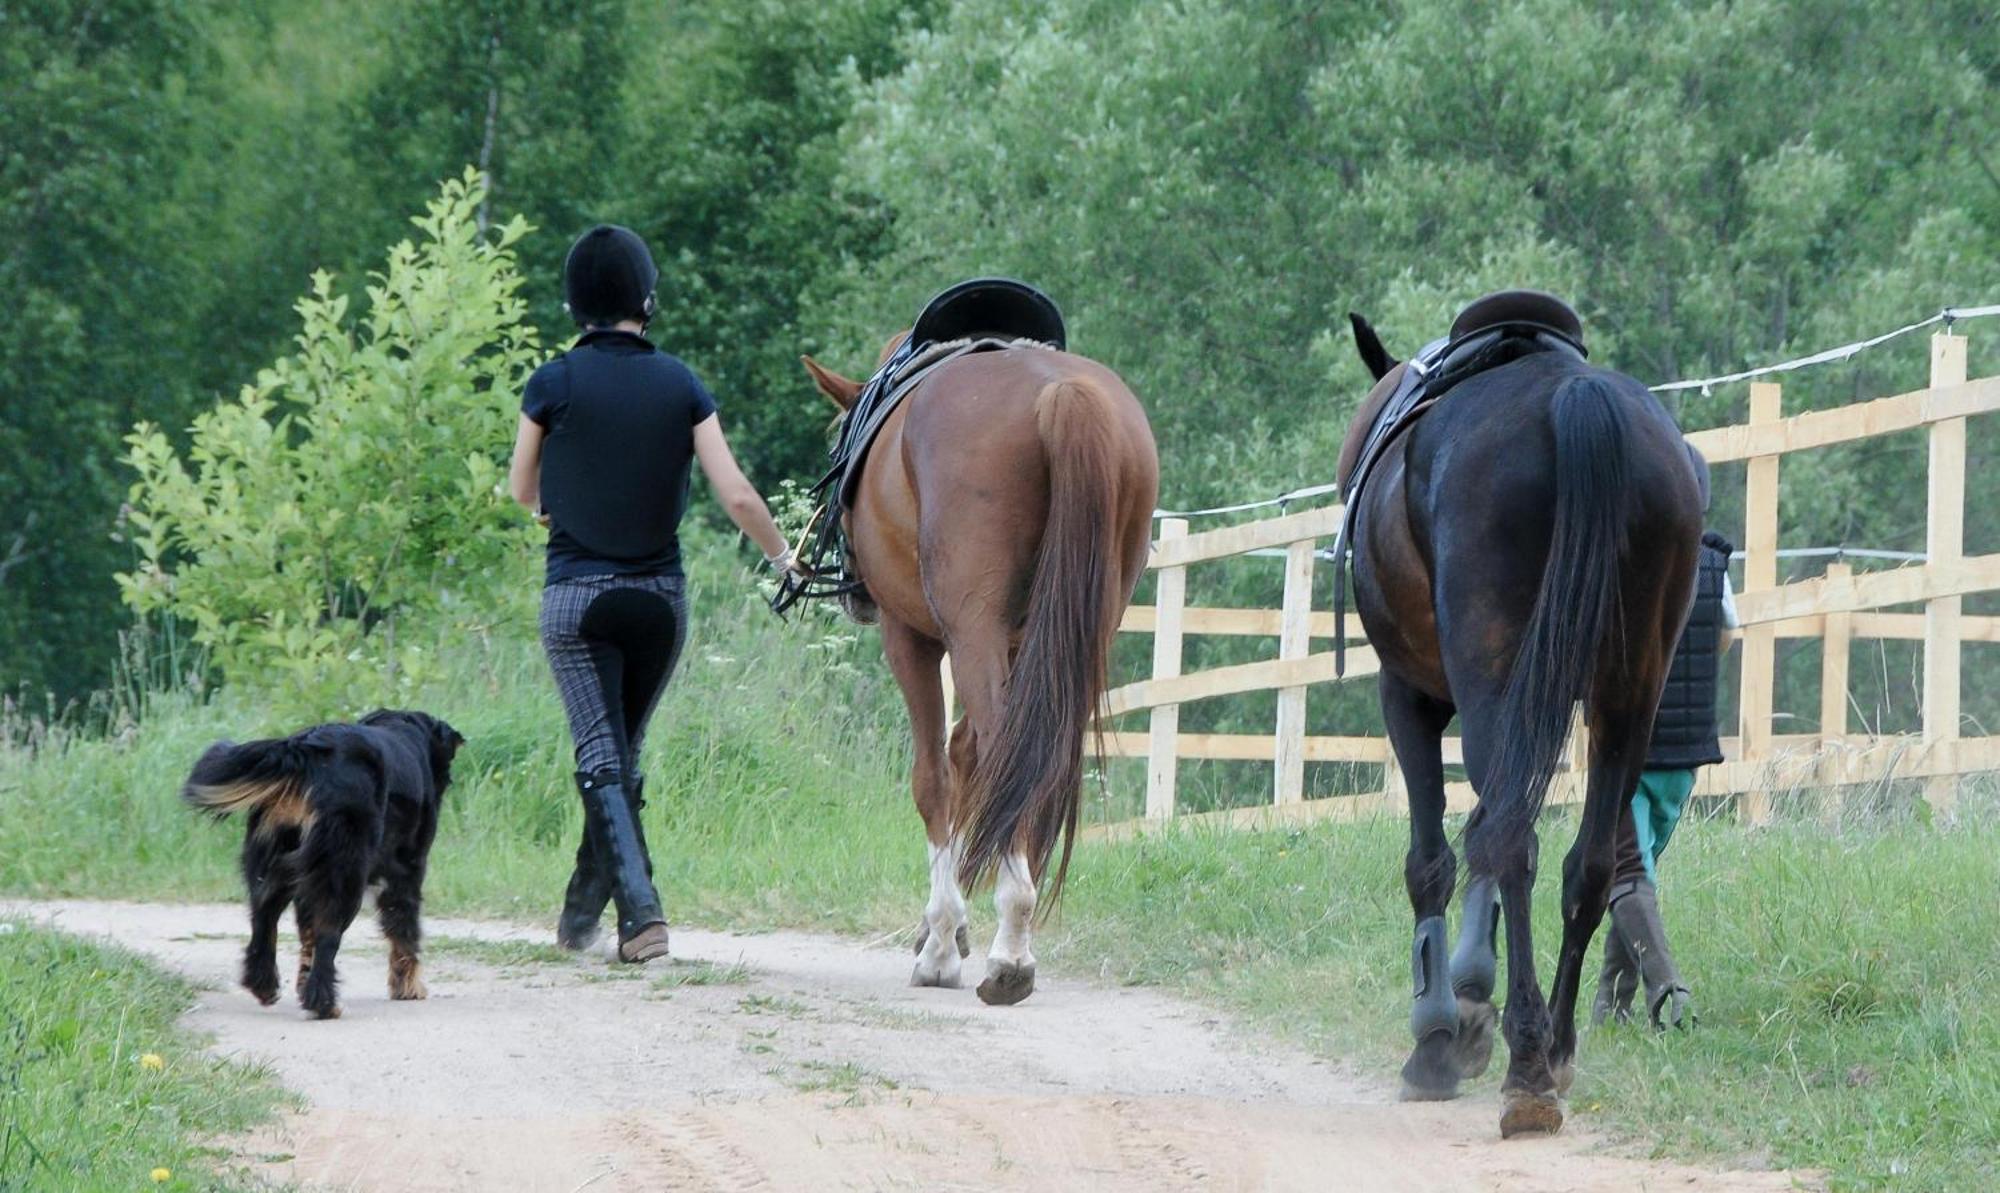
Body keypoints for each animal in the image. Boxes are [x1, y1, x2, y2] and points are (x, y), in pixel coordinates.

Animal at [182, 712, 466, 1020]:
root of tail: (305, 749)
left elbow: (307, 936)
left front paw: (302, 986)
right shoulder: (408, 870)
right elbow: (404, 931)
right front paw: (409, 987)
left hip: (273, 861)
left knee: (263, 921)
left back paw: (265, 984)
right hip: (344, 870)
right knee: (328, 935)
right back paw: (325, 1003)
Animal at [804, 332, 1168, 996]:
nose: (854, 595)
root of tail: (1060, 392)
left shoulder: (913, 638)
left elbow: (935, 776)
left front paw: (941, 941)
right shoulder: (1020, 644)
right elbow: (967, 756)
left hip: (967, 631)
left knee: (999, 754)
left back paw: (1010, 948)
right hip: (1079, 631)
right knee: (1029, 758)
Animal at [1344, 312, 1704, 1128]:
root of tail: (1575, 397)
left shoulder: (1407, 692)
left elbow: (1433, 859)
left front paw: (1440, 1032)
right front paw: (1474, 997)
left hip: (1492, 681)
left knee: (1511, 842)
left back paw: (1527, 1063)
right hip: (1627, 697)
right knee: (1585, 864)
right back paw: (1556, 1045)